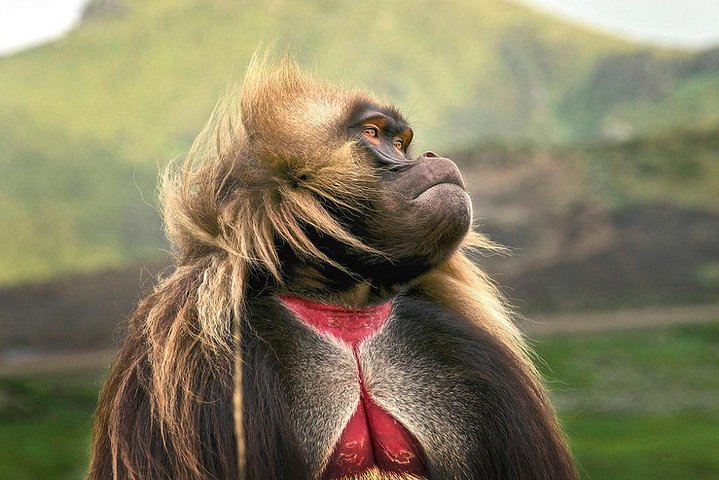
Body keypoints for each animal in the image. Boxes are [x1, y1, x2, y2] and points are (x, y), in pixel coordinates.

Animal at [88, 57, 578, 480]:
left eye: (401, 142)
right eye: (374, 133)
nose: (427, 157)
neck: (346, 304)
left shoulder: (452, 337)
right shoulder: (194, 360)